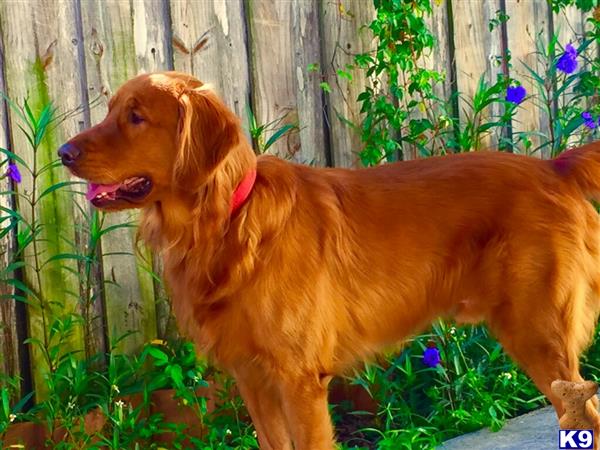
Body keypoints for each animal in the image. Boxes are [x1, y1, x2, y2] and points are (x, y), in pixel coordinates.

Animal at [59, 72, 600, 448]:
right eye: (111, 110)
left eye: (136, 116)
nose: (63, 152)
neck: (227, 222)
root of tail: (554, 168)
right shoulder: (254, 379)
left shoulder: (300, 382)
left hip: (538, 335)